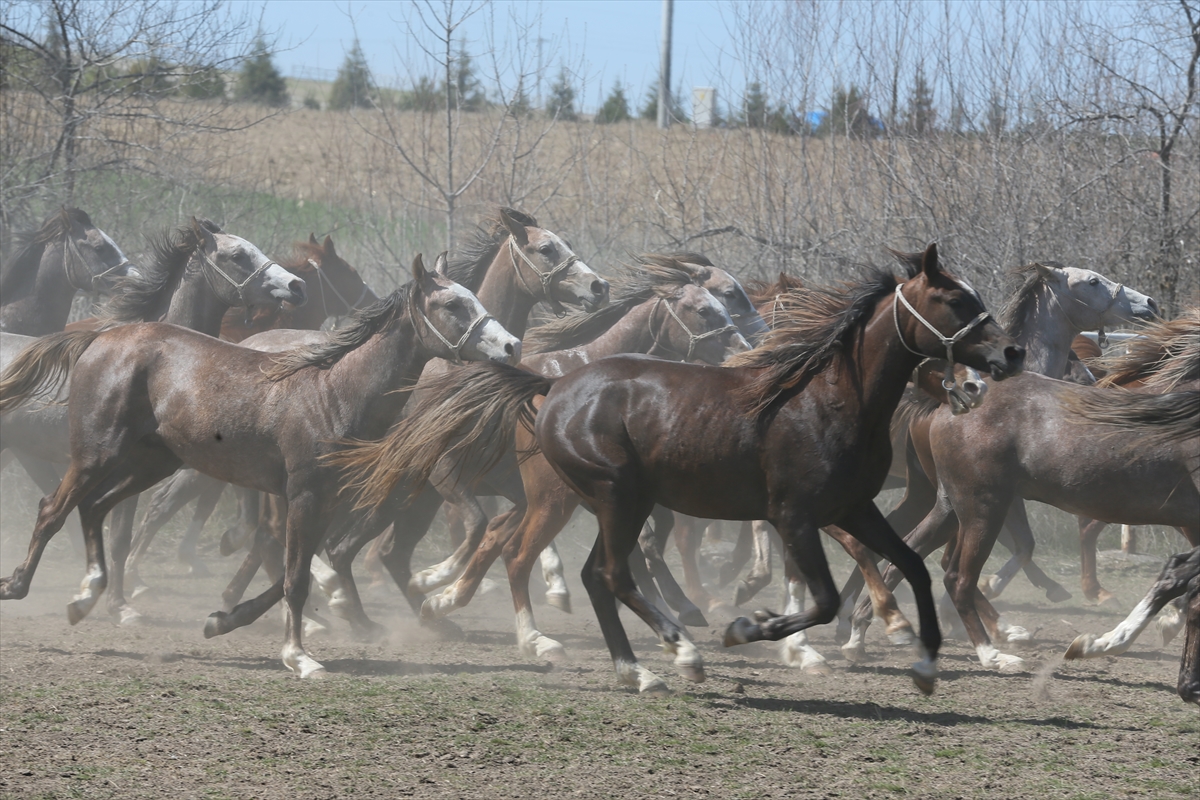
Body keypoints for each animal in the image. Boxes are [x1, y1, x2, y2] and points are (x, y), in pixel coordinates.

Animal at [0, 256, 520, 676]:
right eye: (453, 304)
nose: (511, 345)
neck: (332, 393)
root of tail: (102, 337)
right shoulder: (305, 497)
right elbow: (295, 577)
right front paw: (300, 656)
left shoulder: (323, 500)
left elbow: (296, 570)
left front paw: (222, 620)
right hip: (97, 453)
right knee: (54, 509)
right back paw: (19, 586)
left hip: (153, 462)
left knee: (95, 508)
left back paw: (86, 597)